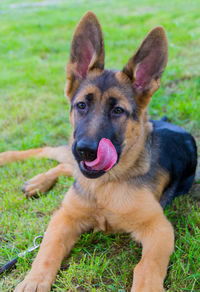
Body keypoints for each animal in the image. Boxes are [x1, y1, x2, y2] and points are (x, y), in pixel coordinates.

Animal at [0, 11, 197, 292]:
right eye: (81, 105)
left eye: (118, 111)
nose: (85, 151)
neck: (105, 187)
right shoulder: (64, 217)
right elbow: (47, 250)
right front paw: (33, 281)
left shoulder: (159, 228)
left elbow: (147, 267)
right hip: (69, 155)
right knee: (53, 153)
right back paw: (18, 166)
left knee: (64, 163)